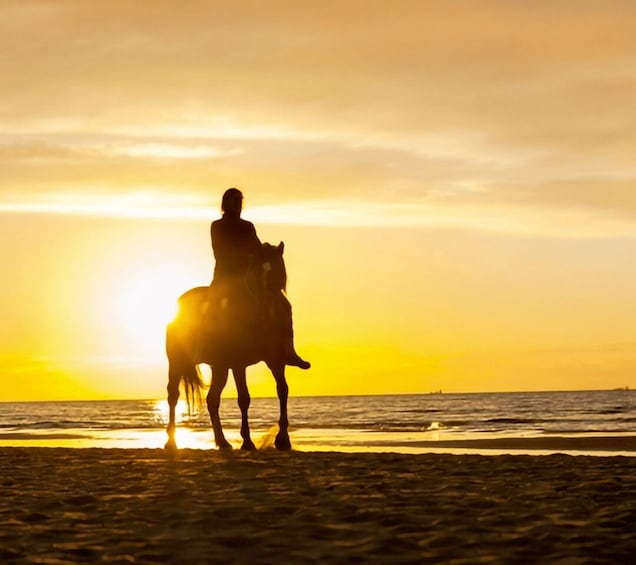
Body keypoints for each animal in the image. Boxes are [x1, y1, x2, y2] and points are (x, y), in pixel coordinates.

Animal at [164, 241, 294, 450]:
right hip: (177, 362)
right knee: (173, 396)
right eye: (256, 274)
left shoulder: (275, 359)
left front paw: (283, 438)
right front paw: (247, 441)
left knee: (212, 399)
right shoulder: (238, 364)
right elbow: (244, 398)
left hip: (219, 367)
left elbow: (282, 390)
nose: (266, 313)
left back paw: (222, 441)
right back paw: (171, 441)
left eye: (279, 274)